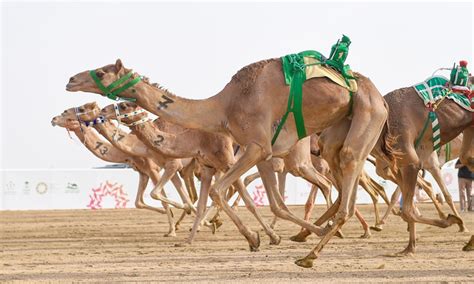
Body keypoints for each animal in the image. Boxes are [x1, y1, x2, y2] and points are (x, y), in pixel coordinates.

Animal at [51, 107, 178, 236]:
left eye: (68, 116)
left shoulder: (153, 169)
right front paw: (167, 215)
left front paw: (171, 230)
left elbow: (160, 198)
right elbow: (138, 202)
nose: (53, 119)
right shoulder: (143, 172)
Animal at [99, 102, 278, 246]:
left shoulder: (227, 163)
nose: (102, 110)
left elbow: (248, 201)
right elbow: (200, 203)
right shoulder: (207, 167)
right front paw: (188, 239)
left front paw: (268, 237)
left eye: (123, 105)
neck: (197, 138)